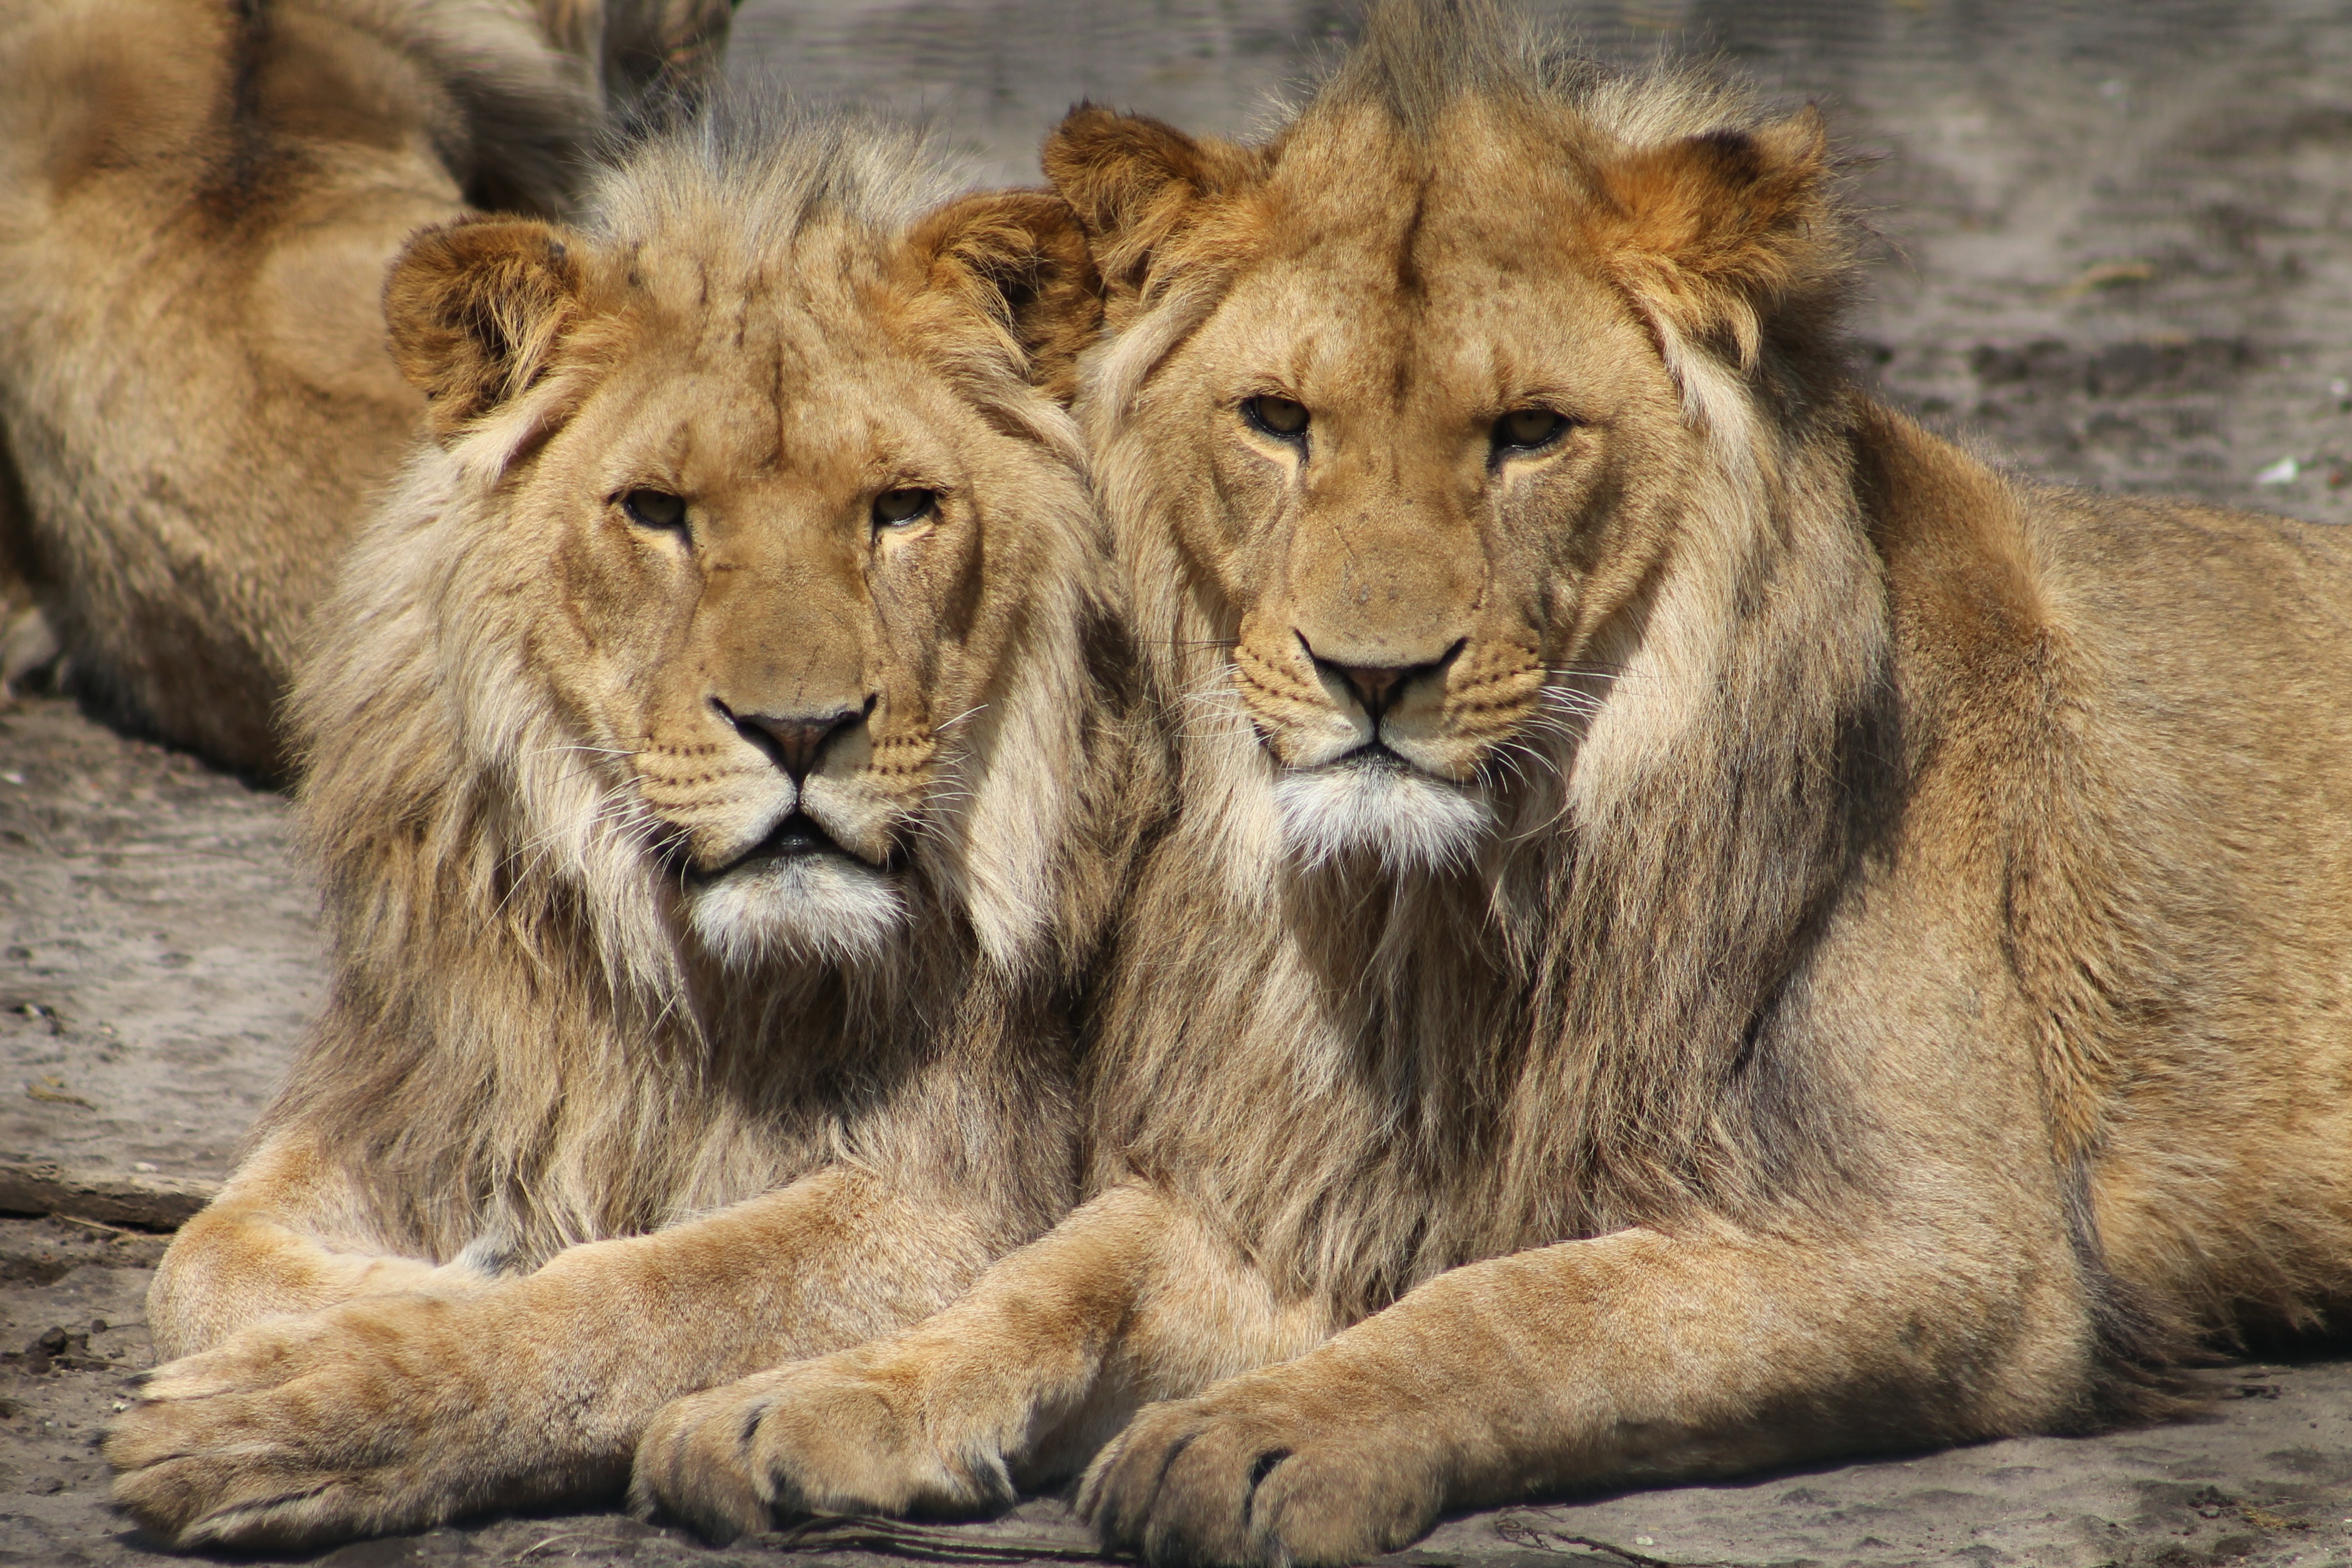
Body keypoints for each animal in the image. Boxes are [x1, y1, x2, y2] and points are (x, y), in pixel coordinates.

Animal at [101, 104, 1147, 1551]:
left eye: (900, 509)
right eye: (656, 511)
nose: (802, 730)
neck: (690, 969)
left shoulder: (960, 1192)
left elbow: (647, 1292)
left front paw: (304, 1399)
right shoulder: (436, 1082)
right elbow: (200, 1256)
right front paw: (424, 1277)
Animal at [625, 6, 2352, 1561]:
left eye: (1530, 433)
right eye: (1277, 420)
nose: (1372, 678)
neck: (1440, 912)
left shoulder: (1952, 1241)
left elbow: (1528, 1304)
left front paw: (1262, 1436)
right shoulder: (1298, 1173)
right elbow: (1061, 1269)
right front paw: (815, 1396)